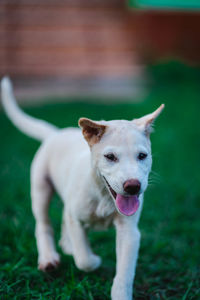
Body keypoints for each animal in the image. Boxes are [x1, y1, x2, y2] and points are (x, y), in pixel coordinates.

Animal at [1, 77, 164, 300]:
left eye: (142, 156)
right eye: (110, 157)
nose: (133, 186)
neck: (103, 195)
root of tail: (56, 133)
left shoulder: (129, 231)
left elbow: (124, 272)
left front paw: (120, 293)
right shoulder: (76, 220)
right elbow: (84, 259)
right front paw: (94, 260)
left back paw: (66, 246)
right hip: (40, 189)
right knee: (43, 224)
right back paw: (49, 258)